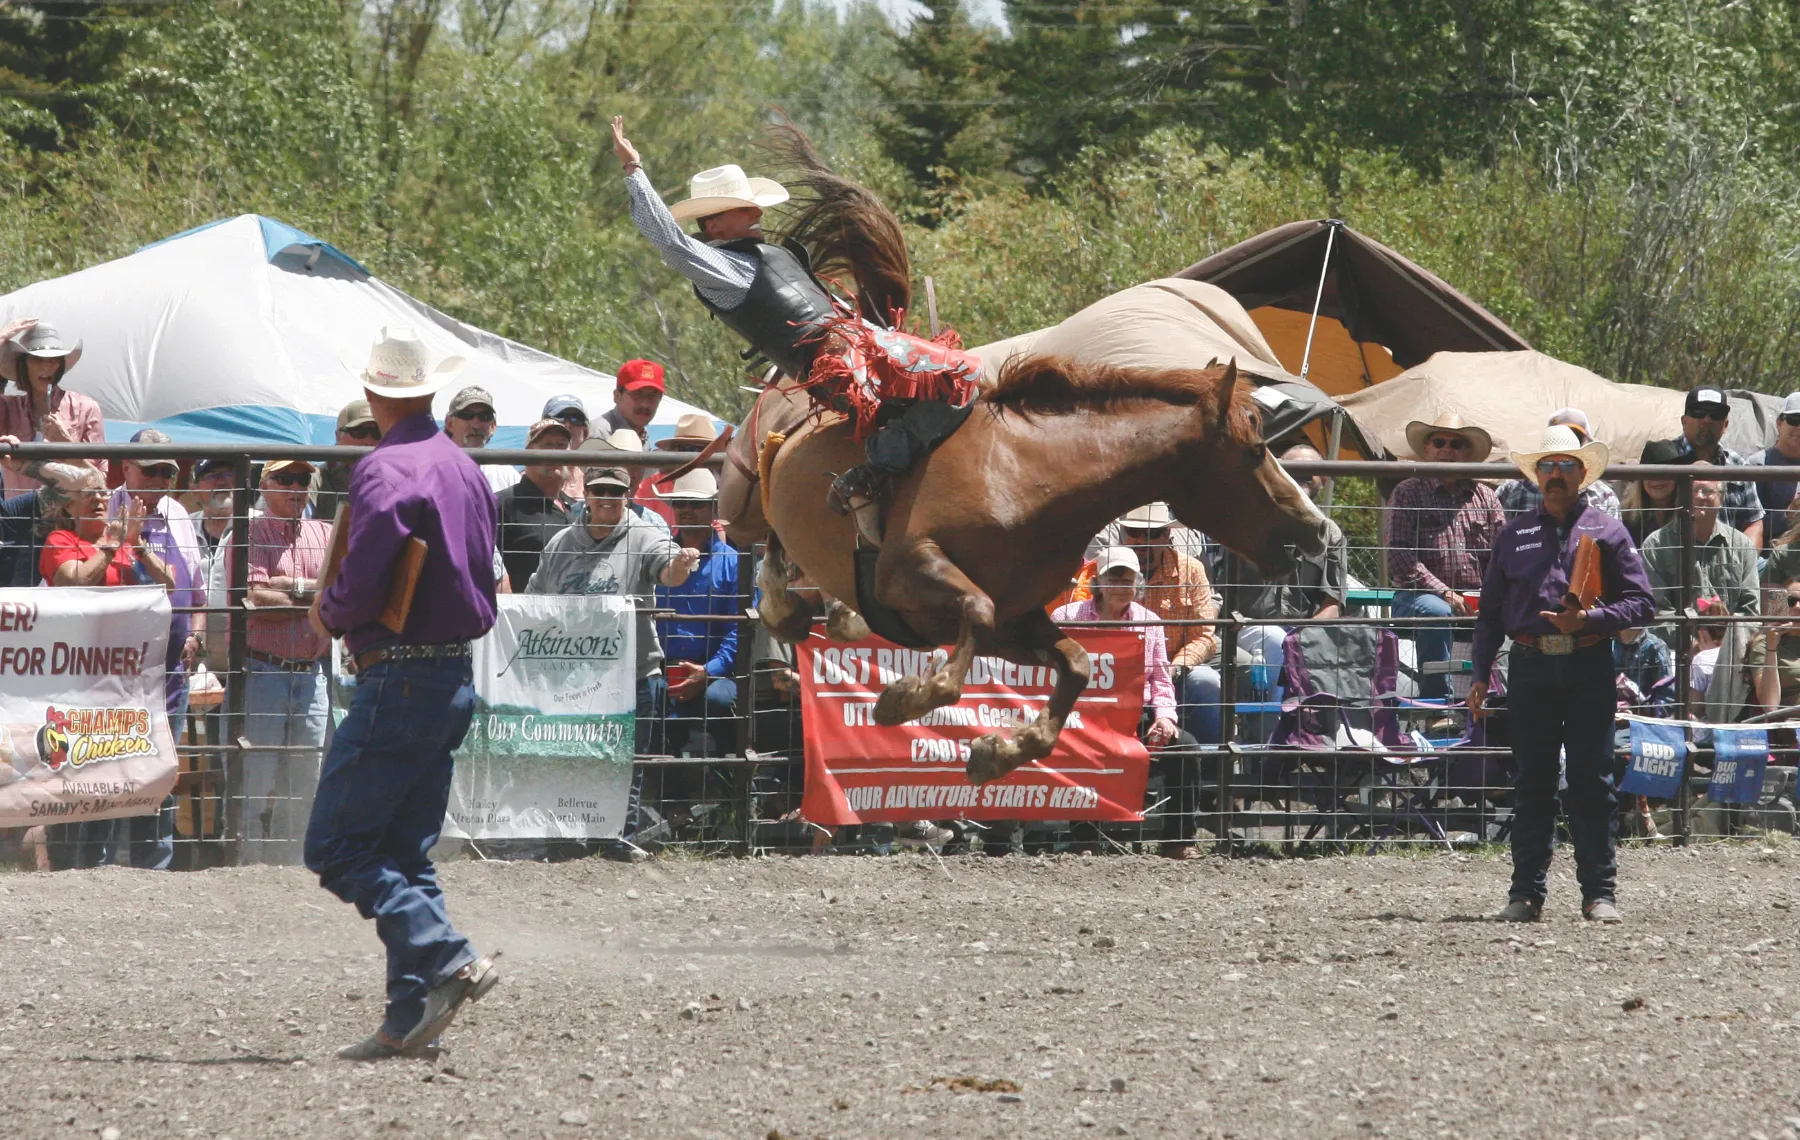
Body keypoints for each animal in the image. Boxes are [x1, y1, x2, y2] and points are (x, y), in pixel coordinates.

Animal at [738, 352, 1332, 781]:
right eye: (1255, 450)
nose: (1317, 527)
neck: (1027, 475)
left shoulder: (1014, 620)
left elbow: (1077, 664)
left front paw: (999, 753)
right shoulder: (906, 571)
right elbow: (974, 611)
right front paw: (903, 699)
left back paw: (835, 616)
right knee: (768, 543)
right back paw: (789, 606)